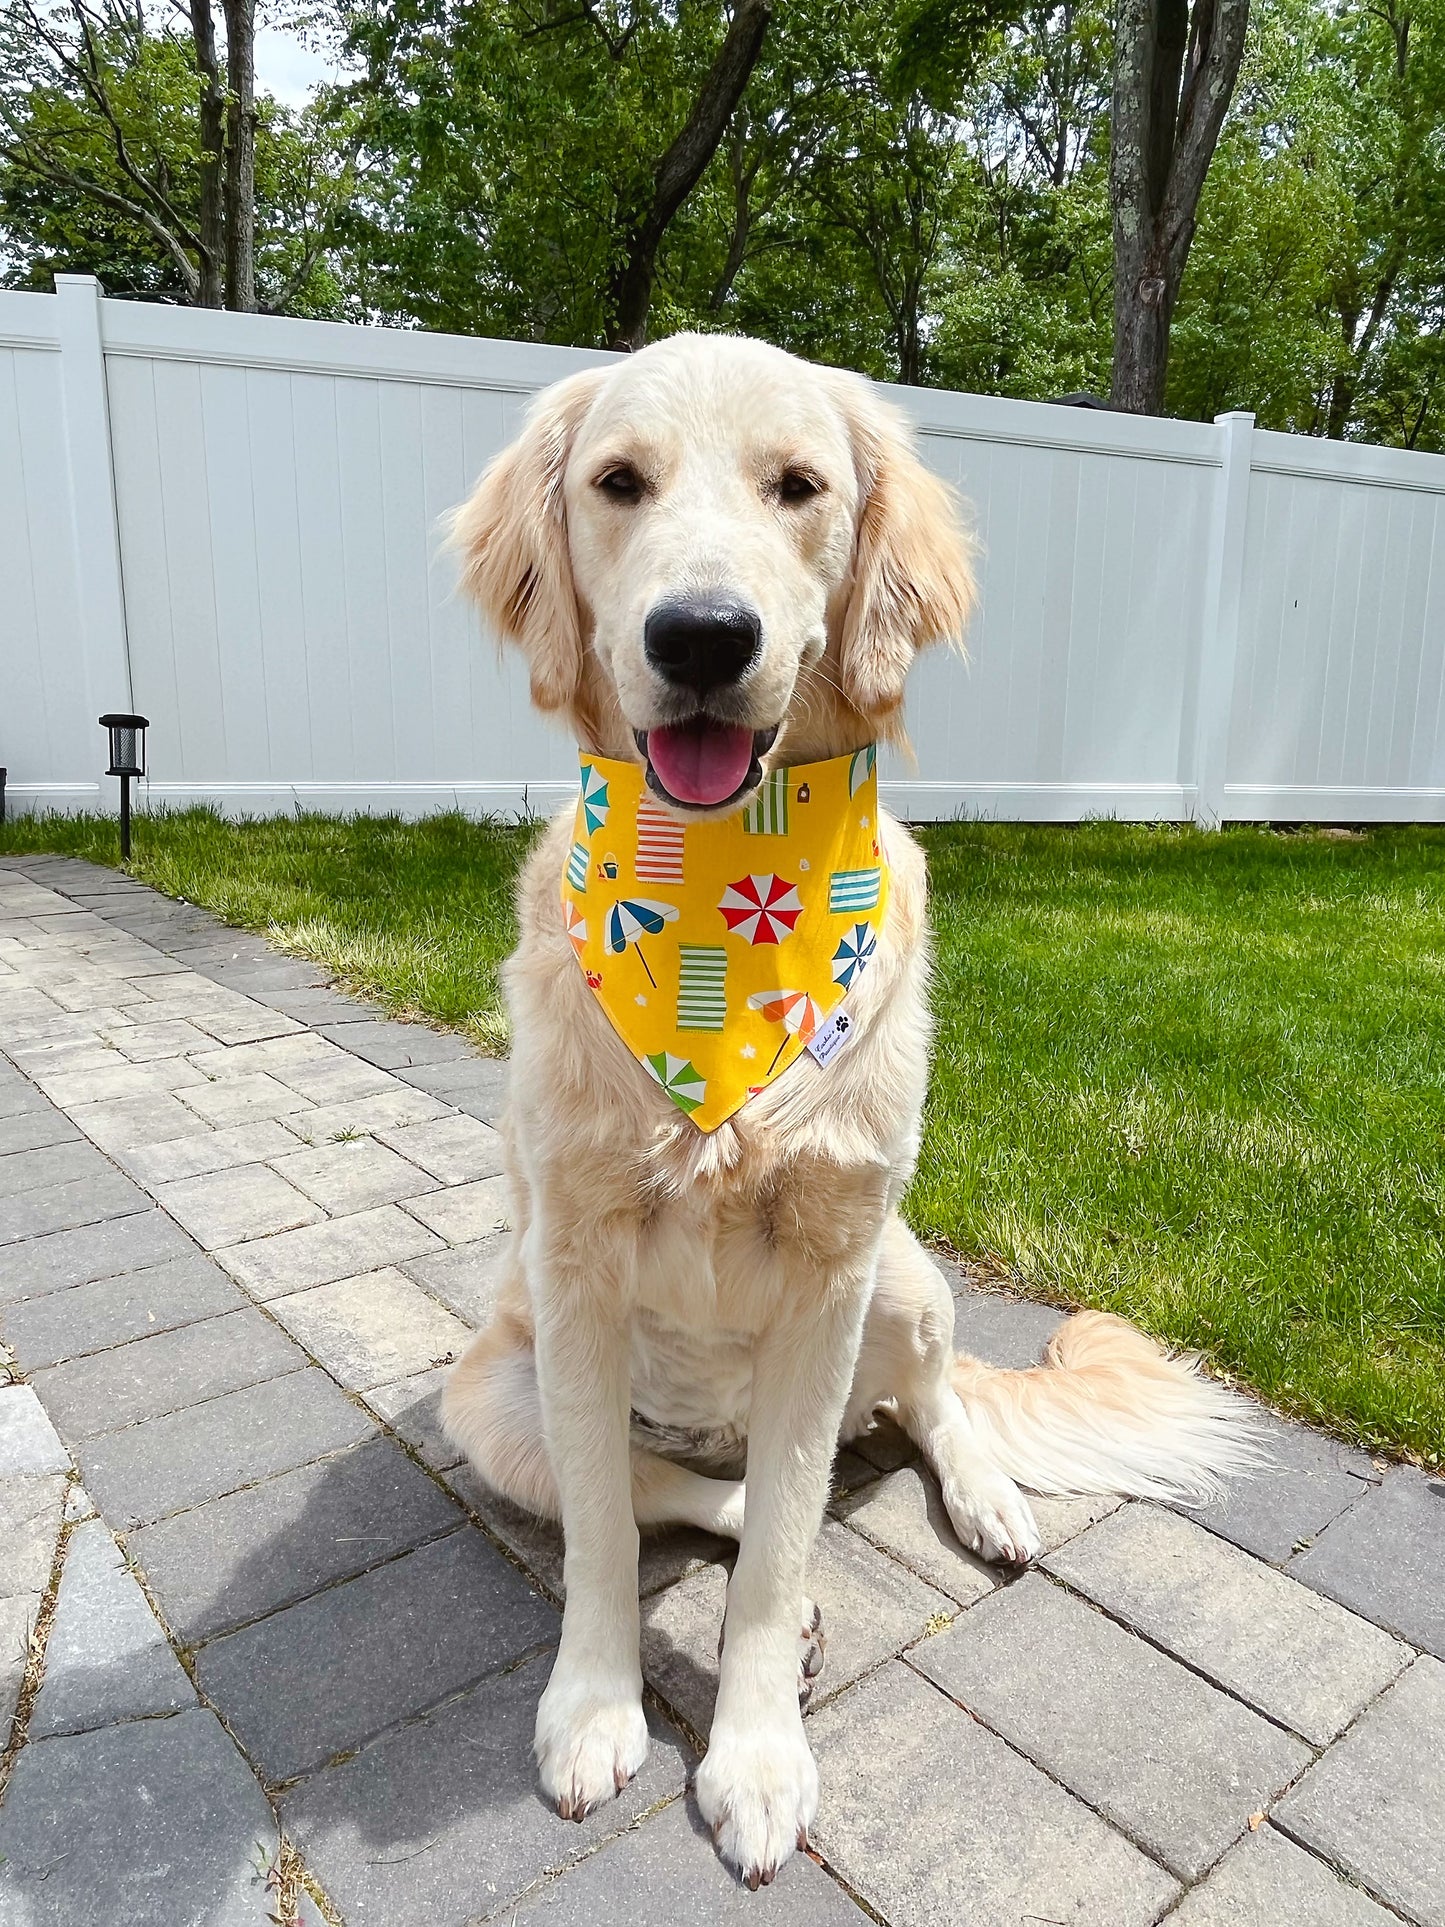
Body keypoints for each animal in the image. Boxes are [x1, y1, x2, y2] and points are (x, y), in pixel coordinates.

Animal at [439, 331, 1256, 1880]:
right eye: (618, 482)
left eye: (799, 486)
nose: (704, 636)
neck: (717, 917)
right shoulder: (569, 1264)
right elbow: (614, 1540)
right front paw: (594, 1707)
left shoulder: (830, 1264)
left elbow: (774, 1557)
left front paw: (757, 1757)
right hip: (491, 1402)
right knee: (672, 1488)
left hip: (906, 1273)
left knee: (922, 1411)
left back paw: (985, 1496)